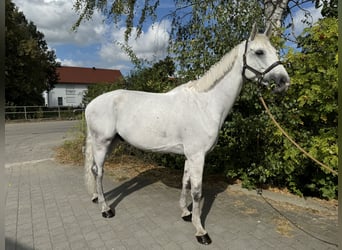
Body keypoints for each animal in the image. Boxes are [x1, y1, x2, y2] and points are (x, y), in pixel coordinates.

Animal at [84, 24, 290, 244]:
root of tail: (91, 104)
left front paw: (185, 213)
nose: (284, 82)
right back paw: (106, 209)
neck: (205, 104)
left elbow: (185, 182)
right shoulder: (198, 156)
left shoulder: (189, 156)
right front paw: (201, 231)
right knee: (99, 172)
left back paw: (96, 198)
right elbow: (197, 191)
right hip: (102, 143)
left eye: (275, 50)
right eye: (259, 52)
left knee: (94, 169)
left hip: (111, 142)